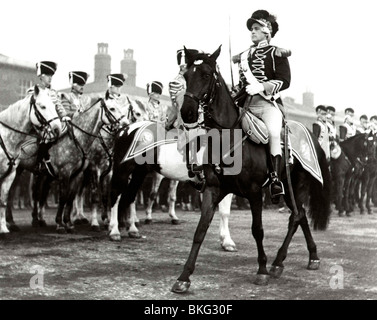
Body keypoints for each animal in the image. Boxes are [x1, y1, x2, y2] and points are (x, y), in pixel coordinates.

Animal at [172, 46, 330, 294]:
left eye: (206, 75)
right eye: (186, 75)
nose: (187, 113)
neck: (228, 136)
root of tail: (312, 135)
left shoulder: (255, 193)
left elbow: (258, 230)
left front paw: (262, 270)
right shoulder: (213, 190)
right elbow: (200, 230)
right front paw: (184, 277)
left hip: (295, 185)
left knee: (296, 216)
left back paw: (277, 262)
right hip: (290, 190)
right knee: (301, 215)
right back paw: (310, 257)